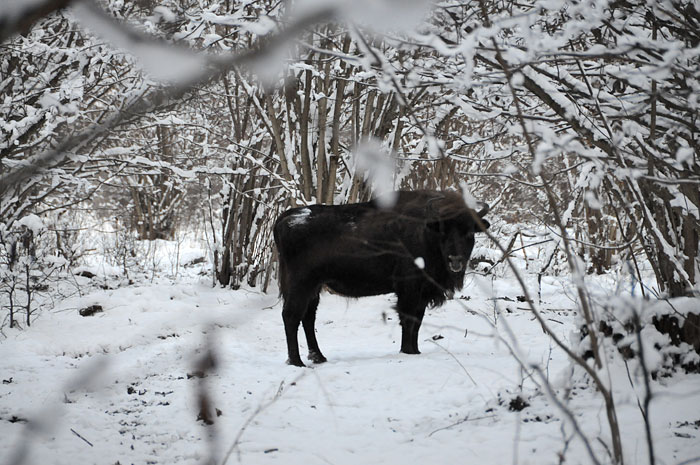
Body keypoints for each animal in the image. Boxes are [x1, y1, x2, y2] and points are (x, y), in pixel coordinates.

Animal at [270, 188, 490, 366]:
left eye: (469, 231)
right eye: (444, 230)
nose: (455, 260)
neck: (426, 231)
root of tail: (283, 219)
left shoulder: (422, 294)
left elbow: (417, 321)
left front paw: (416, 351)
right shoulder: (409, 289)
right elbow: (408, 320)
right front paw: (408, 351)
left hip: (314, 287)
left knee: (308, 318)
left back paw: (318, 357)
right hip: (302, 284)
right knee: (291, 316)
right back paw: (297, 362)